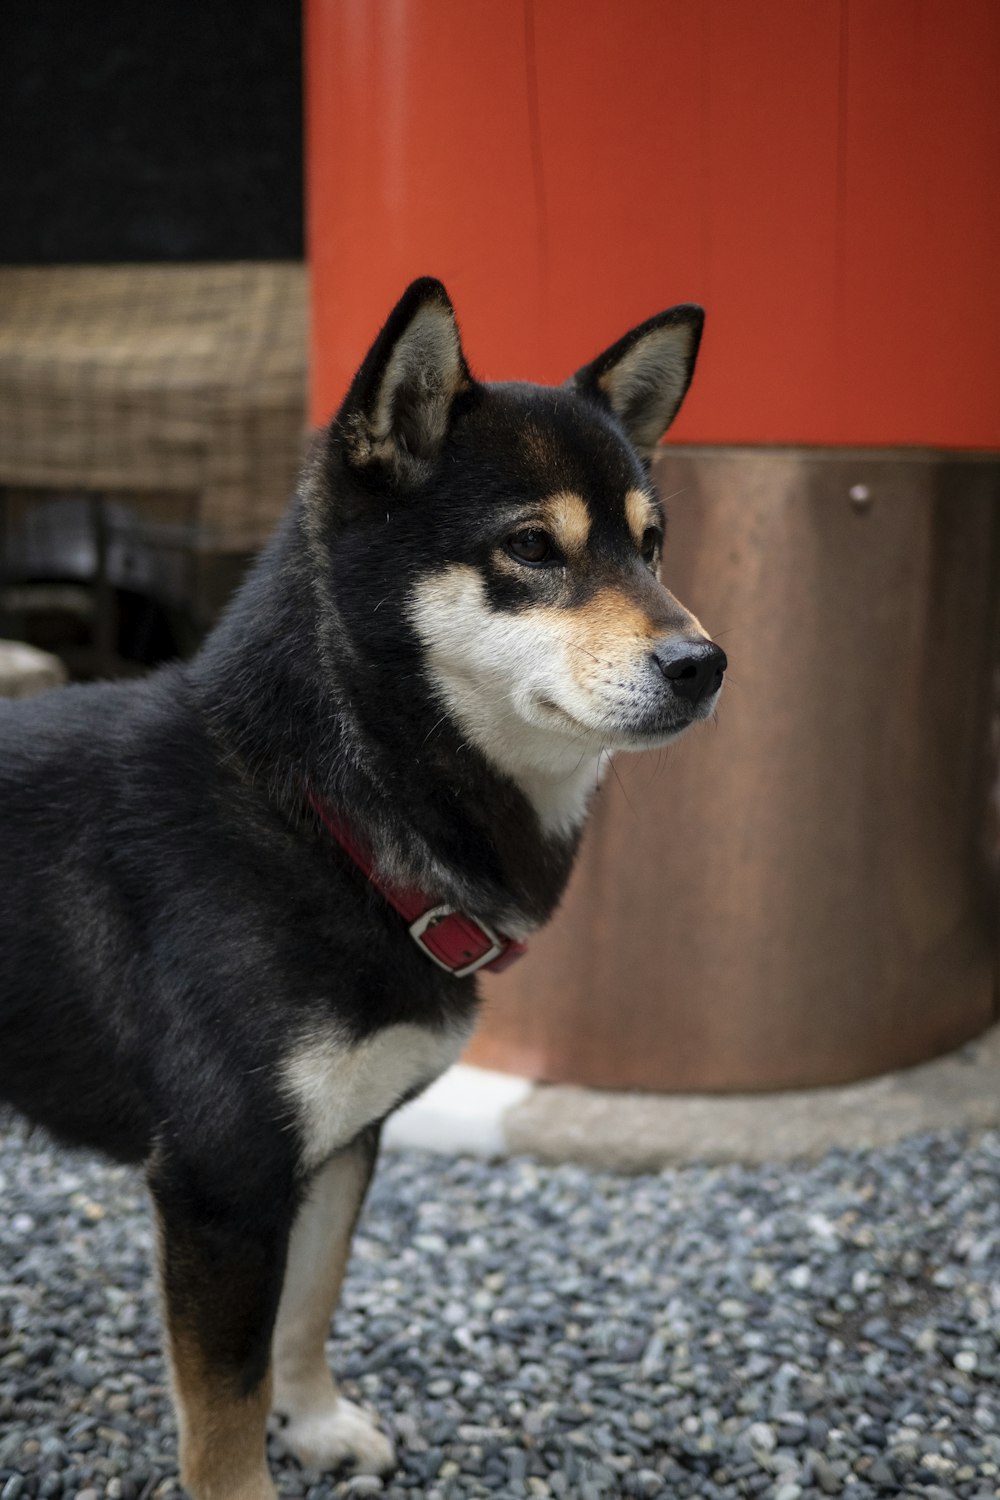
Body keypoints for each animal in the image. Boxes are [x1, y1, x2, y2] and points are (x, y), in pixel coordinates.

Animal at [0, 282, 722, 1500]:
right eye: (532, 547)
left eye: (653, 545)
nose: (704, 664)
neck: (322, 817)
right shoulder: (221, 1177)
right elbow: (223, 1409)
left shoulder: (341, 1141)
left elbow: (310, 1302)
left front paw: (317, 1422)